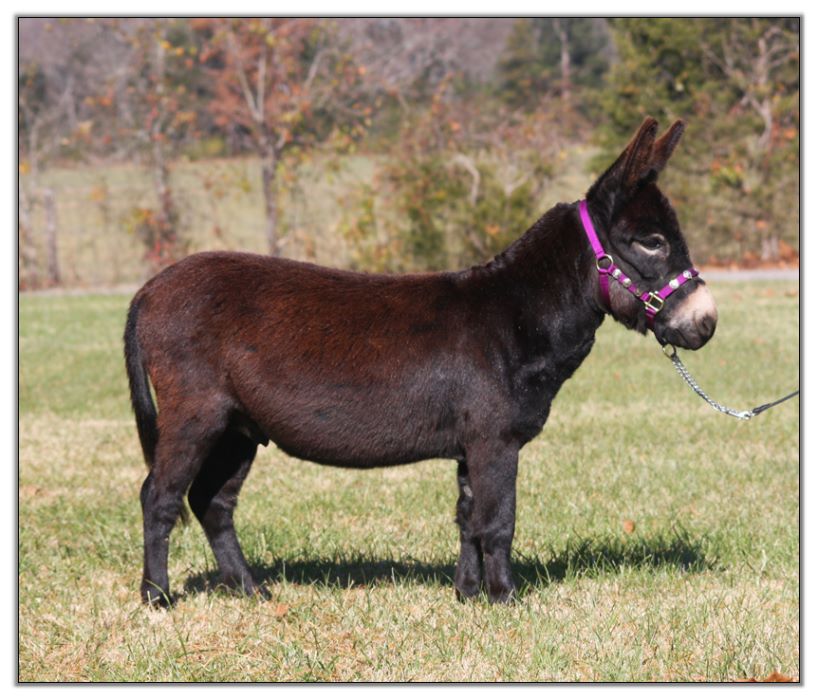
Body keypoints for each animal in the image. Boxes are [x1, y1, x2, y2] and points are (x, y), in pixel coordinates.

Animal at [124, 117, 717, 606]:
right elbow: (498, 521)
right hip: (196, 413)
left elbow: (468, 519)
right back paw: (158, 598)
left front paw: (468, 595)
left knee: (212, 503)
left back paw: (250, 591)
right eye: (650, 241)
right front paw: (508, 601)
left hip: (239, 427)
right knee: (160, 496)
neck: (517, 315)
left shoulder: (471, 444)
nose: (706, 322)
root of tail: (149, 289)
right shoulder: (495, 439)